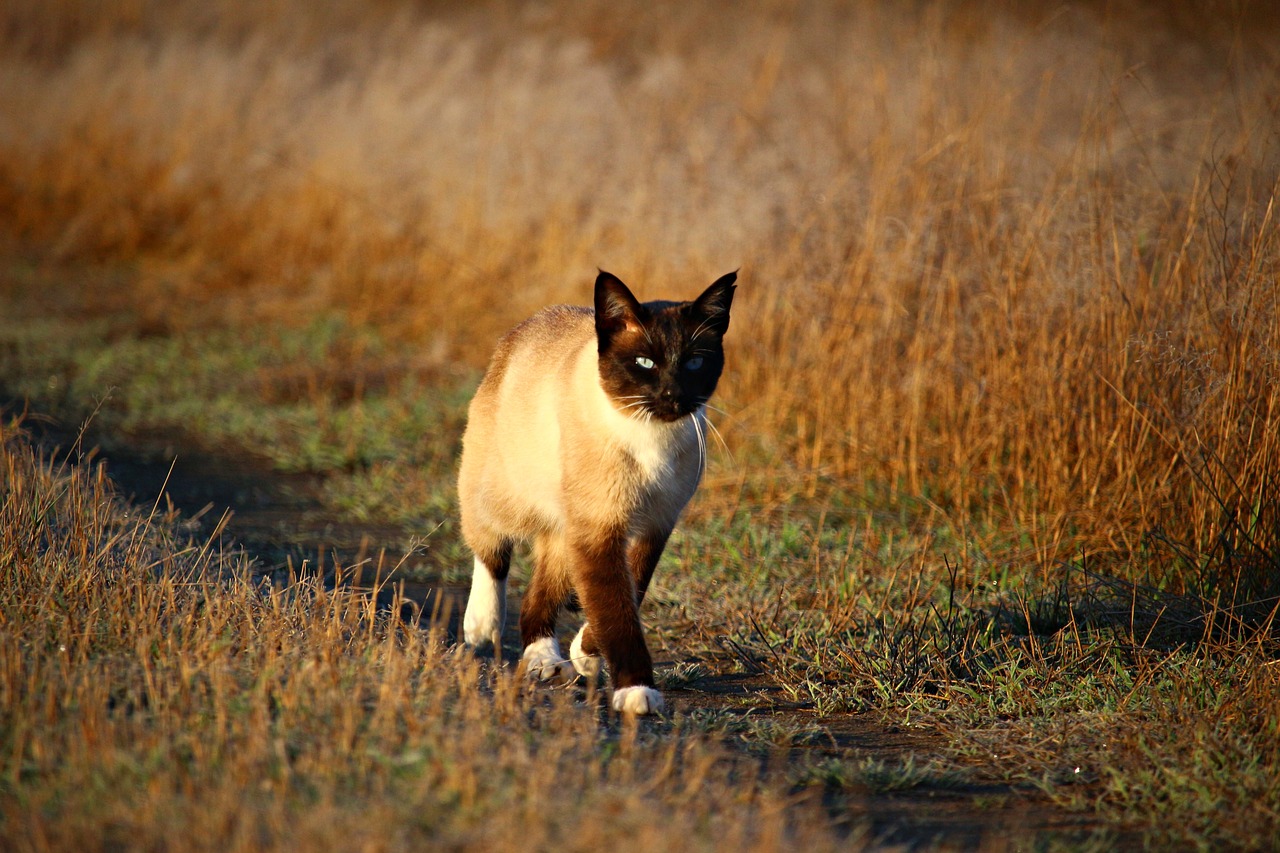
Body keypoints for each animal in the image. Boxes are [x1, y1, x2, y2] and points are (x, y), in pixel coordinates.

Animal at [458, 267, 737, 712]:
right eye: (644, 363)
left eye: (694, 362)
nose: (672, 396)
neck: (651, 435)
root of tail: (530, 322)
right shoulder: (600, 528)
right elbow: (616, 610)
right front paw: (636, 692)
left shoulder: (652, 526)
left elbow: (628, 594)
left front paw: (585, 654)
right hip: (507, 493)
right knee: (489, 546)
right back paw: (482, 626)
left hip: (562, 529)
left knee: (537, 597)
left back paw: (546, 660)